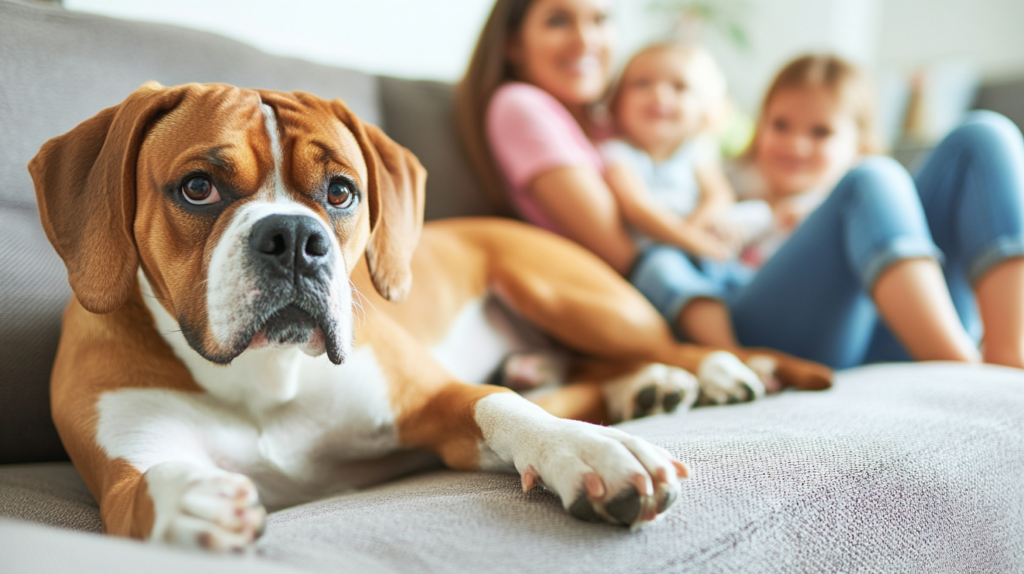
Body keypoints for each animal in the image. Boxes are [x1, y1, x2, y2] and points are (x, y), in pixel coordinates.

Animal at [29, 81, 831, 552]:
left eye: (341, 192)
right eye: (197, 188)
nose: (294, 237)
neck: (265, 372)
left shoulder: (442, 404)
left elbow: (510, 409)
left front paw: (591, 450)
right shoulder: (121, 472)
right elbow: (146, 491)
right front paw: (189, 500)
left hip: (568, 295)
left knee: (664, 343)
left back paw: (716, 371)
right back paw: (648, 387)